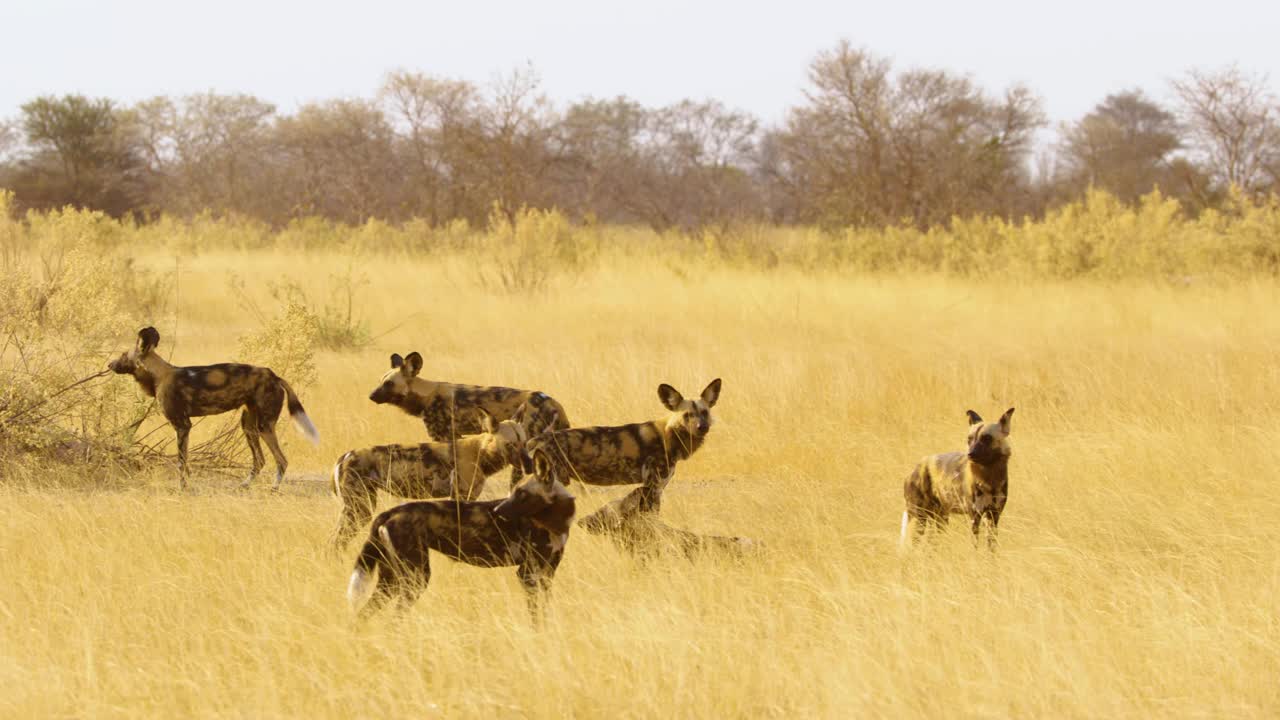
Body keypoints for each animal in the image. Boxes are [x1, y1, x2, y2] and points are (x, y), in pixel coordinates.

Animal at [108, 326, 320, 486]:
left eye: (123, 355)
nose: (110, 364)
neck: (158, 375)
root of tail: (274, 376)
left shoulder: (182, 425)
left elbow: (181, 462)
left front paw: (183, 488)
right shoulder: (185, 427)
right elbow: (185, 462)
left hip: (264, 426)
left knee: (281, 460)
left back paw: (273, 488)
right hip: (249, 426)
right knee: (259, 460)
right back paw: (244, 485)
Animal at [332, 407, 537, 545]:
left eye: (525, 442)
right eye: (510, 445)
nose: (529, 465)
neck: (481, 453)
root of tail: (345, 456)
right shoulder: (459, 498)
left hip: (358, 509)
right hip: (360, 509)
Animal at [901, 404, 1018, 548]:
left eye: (987, 438)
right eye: (969, 439)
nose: (970, 454)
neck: (989, 480)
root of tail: (915, 468)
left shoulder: (994, 516)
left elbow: (991, 548)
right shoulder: (974, 517)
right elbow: (974, 547)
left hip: (941, 518)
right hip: (919, 518)